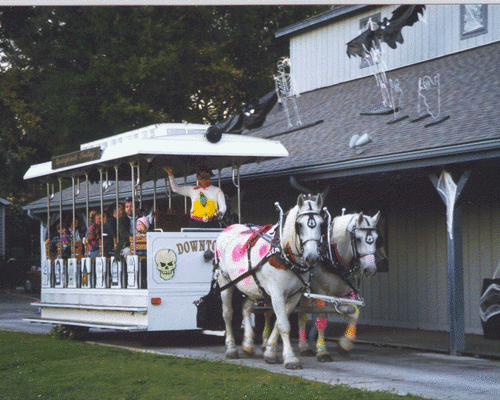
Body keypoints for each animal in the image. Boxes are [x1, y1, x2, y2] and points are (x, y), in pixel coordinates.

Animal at [215, 194, 324, 368]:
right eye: (299, 225)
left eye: (321, 224)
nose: (312, 257)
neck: (284, 254)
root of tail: (228, 228)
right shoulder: (277, 293)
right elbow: (284, 325)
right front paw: (290, 358)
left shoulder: (294, 296)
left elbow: (280, 323)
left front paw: (270, 352)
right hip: (224, 281)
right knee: (227, 314)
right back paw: (231, 348)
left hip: (251, 286)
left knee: (245, 309)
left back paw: (247, 344)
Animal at [294, 214, 380, 360]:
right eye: (358, 239)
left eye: (376, 238)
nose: (370, 269)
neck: (332, 255)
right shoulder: (320, 292)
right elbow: (321, 320)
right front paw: (322, 350)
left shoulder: (347, 291)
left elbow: (354, 314)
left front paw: (345, 344)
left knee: (302, 316)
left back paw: (303, 347)